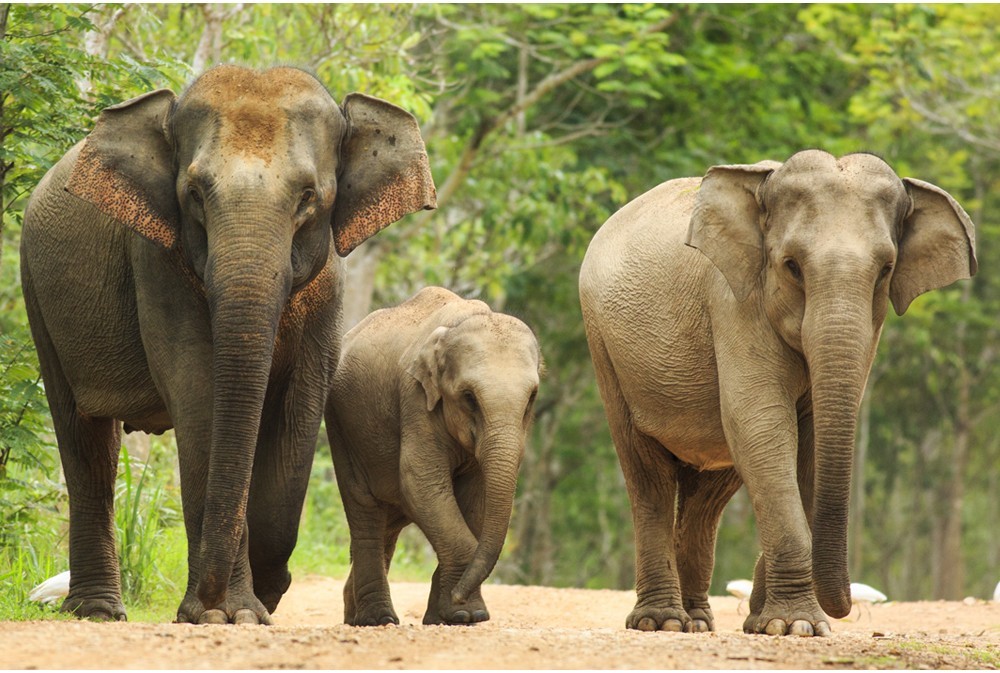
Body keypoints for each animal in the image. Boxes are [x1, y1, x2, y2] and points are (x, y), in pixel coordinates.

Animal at [19, 65, 434, 624]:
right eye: (194, 193)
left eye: (308, 196)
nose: (205, 601)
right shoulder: (156, 259)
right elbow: (198, 390)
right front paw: (227, 614)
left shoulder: (330, 283)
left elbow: (300, 406)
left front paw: (262, 596)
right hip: (37, 293)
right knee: (85, 441)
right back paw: (97, 611)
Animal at [326, 284, 544, 624]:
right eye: (469, 397)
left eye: (532, 397)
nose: (459, 596)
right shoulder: (416, 399)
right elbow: (421, 482)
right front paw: (467, 613)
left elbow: (476, 500)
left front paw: (450, 617)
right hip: (341, 425)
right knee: (365, 509)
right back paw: (377, 620)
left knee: (388, 522)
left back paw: (357, 615)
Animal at [580, 151, 976, 636]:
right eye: (792, 266)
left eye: (886, 270)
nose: (845, 605)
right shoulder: (733, 300)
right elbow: (761, 421)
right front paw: (794, 626)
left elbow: (807, 440)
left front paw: (769, 623)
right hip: (604, 347)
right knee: (647, 473)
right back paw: (663, 623)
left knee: (708, 495)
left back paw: (698, 622)